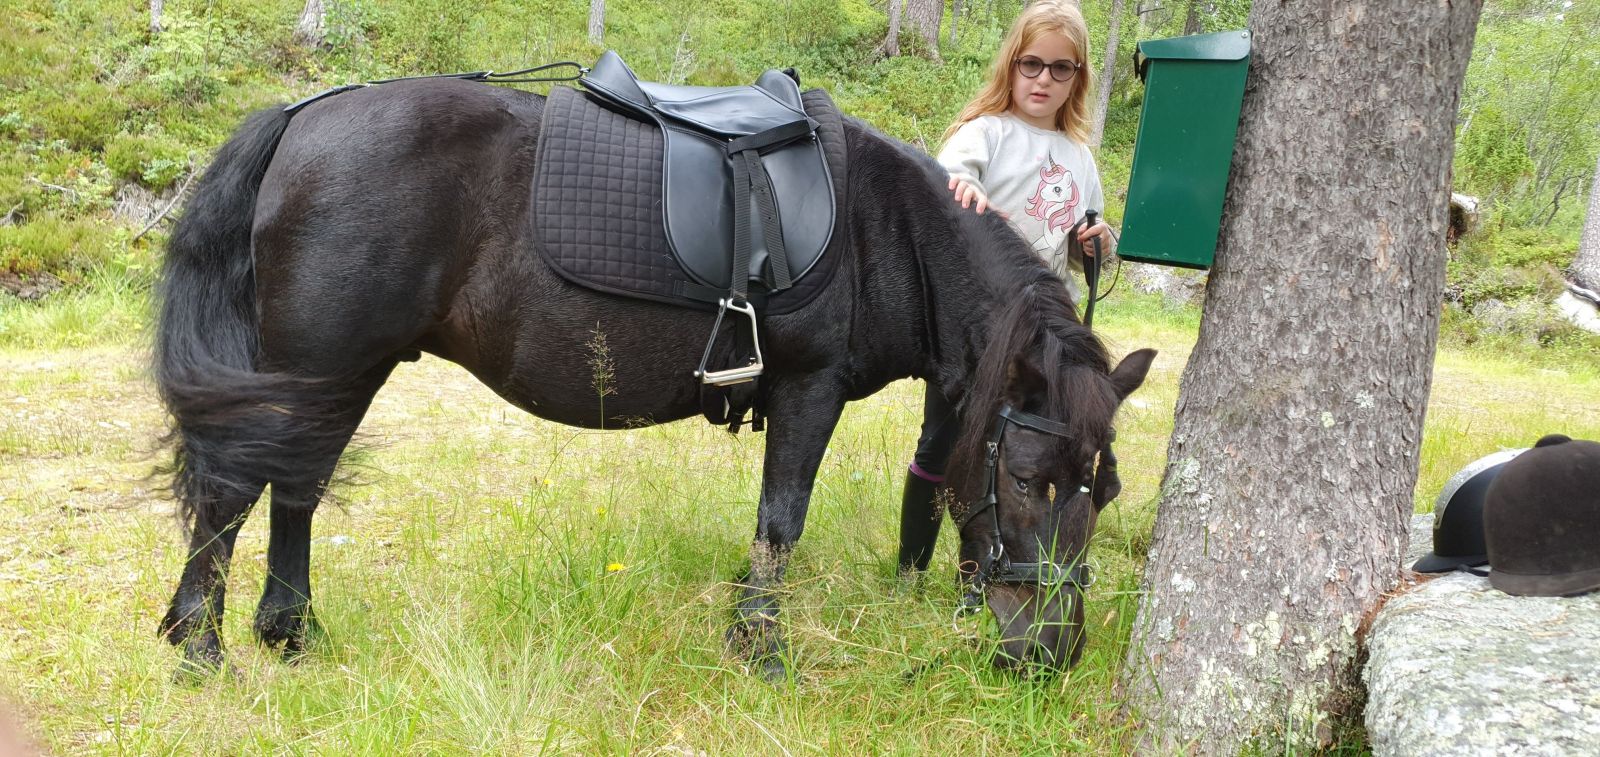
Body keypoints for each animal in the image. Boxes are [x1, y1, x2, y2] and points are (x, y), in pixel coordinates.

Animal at [154, 76, 1155, 679]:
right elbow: (780, 521)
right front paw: (761, 649)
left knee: (296, 489)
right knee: (239, 489)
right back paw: (201, 644)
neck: (889, 229)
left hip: (337, 374)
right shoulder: (810, 387)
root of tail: (305, 115)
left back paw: (287, 631)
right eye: (1026, 478)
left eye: (1102, 492)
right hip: (315, 367)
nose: (1054, 654)